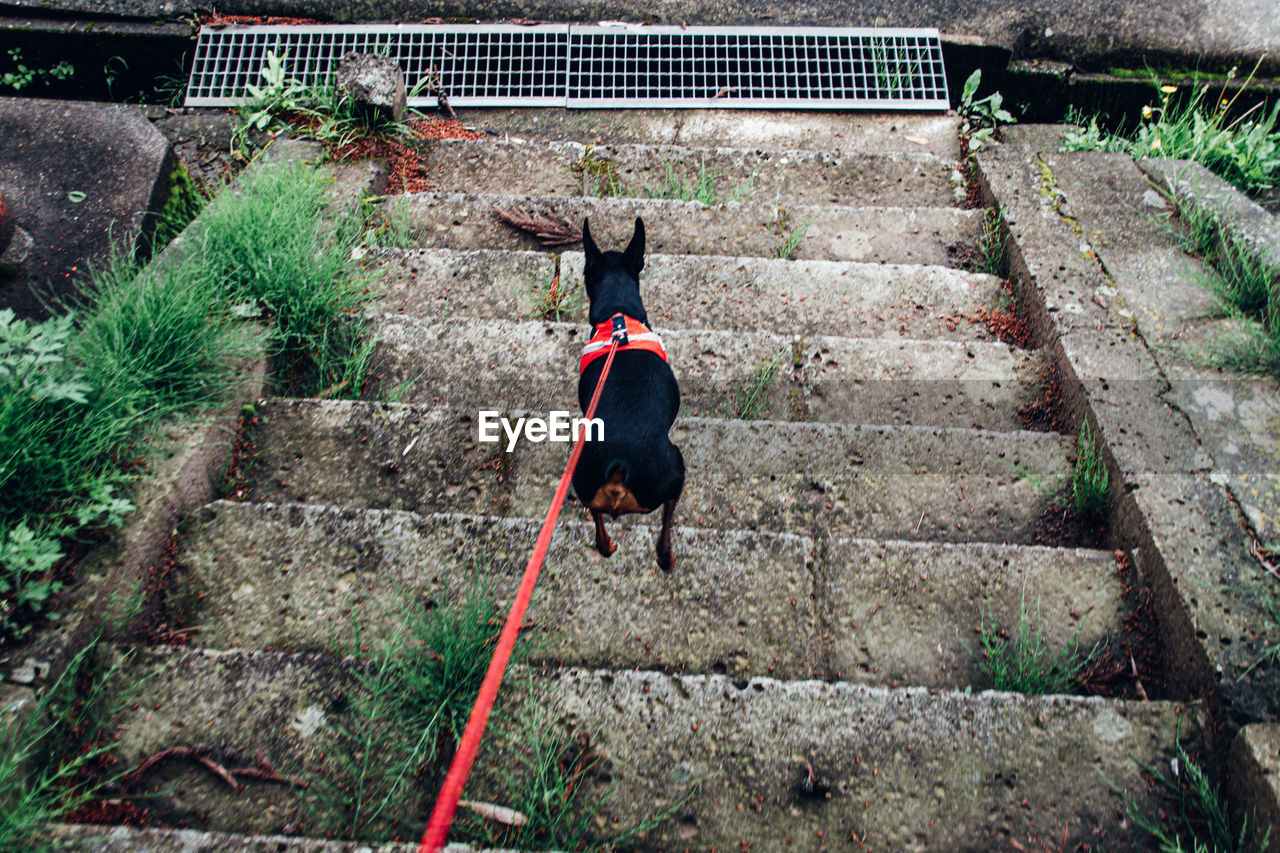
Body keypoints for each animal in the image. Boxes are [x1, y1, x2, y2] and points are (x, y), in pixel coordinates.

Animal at [576, 216, 686, 568]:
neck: (618, 314)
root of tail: (618, 466)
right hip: (673, 469)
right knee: (666, 520)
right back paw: (666, 557)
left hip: (581, 477)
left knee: (597, 523)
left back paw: (608, 545)